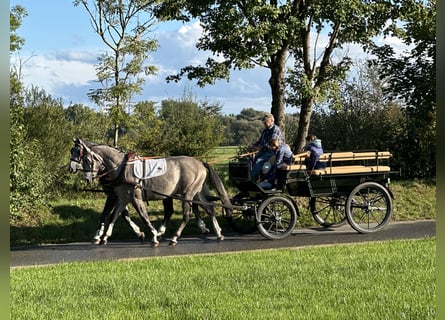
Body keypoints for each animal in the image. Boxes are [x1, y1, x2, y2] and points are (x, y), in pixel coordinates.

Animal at [73, 138, 232, 245]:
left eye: (86, 159)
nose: (86, 178)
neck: (121, 168)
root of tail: (200, 163)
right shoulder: (122, 198)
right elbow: (114, 216)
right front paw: (105, 236)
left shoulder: (133, 198)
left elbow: (143, 216)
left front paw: (154, 236)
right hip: (195, 193)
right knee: (209, 209)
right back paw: (218, 233)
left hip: (187, 194)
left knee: (187, 214)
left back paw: (174, 237)